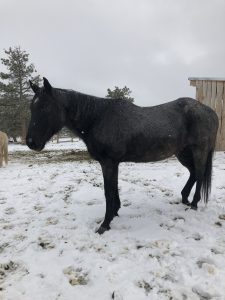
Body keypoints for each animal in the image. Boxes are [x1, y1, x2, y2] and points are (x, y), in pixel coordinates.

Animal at [25, 78, 218, 234]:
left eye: (45, 107)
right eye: (32, 107)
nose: (31, 142)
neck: (98, 118)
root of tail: (211, 112)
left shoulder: (108, 163)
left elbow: (108, 192)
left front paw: (105, 224)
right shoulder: (113, 163)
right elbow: (114, 189)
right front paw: (115, 213)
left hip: (198, 151)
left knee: (199, 174)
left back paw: (194, 204)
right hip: (183, 153)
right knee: (194, 173)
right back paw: (184, 198)